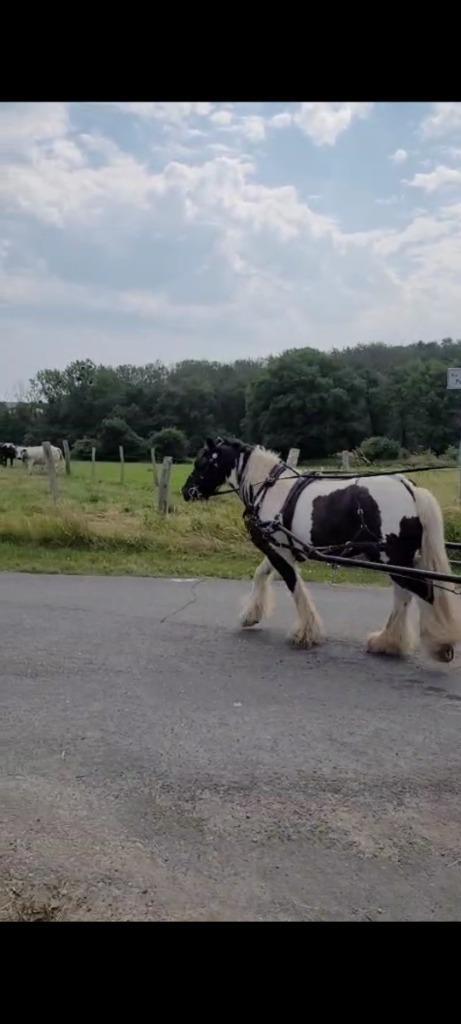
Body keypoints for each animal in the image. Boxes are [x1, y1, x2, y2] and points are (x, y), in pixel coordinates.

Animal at [182, 436, 461, 664]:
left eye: (202, 463)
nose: (186, 492)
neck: (268, 489)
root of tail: (410, 488)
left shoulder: (280, 552)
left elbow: (294, 586)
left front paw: (305, 632)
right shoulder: (281, 549)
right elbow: (260, 574)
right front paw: (250, 615)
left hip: (394, 558)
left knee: (422, 591)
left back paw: (440, 642)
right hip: (397, 559)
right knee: (404, 595)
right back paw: (388, 641)